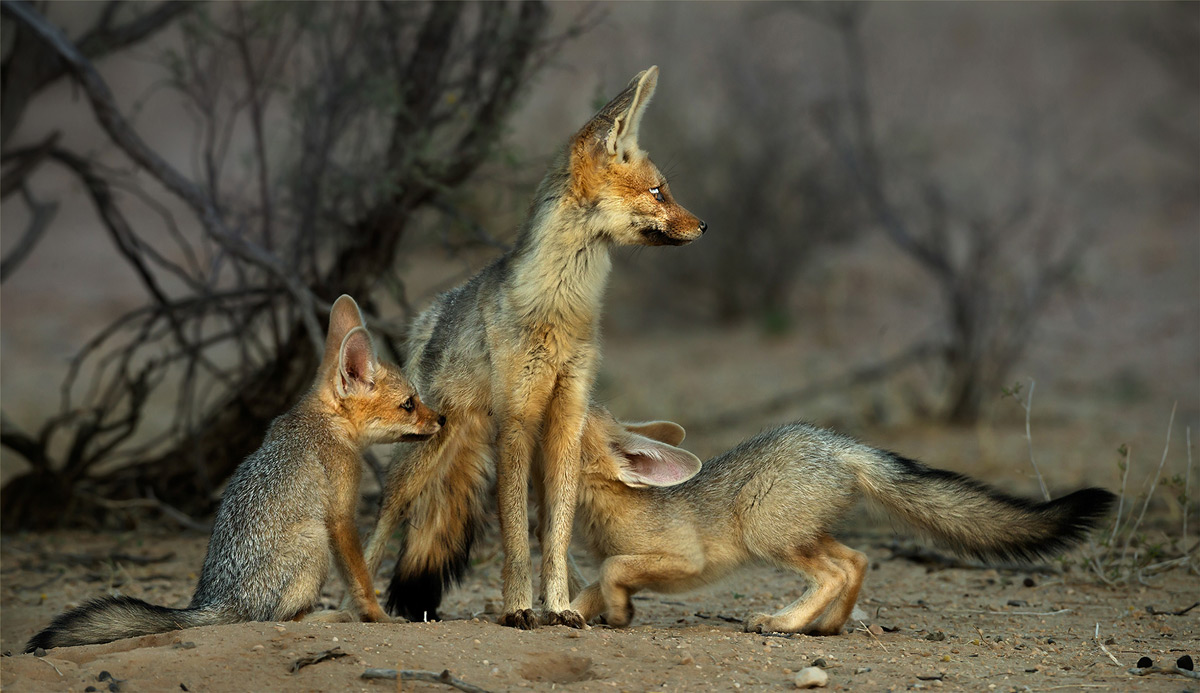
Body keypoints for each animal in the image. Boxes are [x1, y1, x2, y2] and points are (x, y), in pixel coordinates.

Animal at [27, 292, 441, 647]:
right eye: (409, 404)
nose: (443, 418)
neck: (325, 421)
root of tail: (215, 602)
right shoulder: (340, 517)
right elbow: (362, 580)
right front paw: (378, 616)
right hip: (314, 537)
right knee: (276, 619)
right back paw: (328, 617)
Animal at [360, 64, 705, 623]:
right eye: (658, 192)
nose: (704, 225)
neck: (562, 310)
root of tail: (430, 313)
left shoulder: (566, 417)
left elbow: (557, 533)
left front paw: (559, 606)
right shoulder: (518, 421)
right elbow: (516, 536)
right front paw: (519, 608)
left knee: (543, 526)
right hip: (422, 457)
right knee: (386, 519)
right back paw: (362, 600)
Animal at [571, 407, 1113, 633]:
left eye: (581, 408)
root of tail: (842, 444)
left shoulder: (684, 559)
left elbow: (612, 570)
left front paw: (619, 614)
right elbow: (595, 583)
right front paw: (568, 615)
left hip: (769, 535)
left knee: (834, 572)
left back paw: (785, 623)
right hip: (805, 535)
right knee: (857, 561)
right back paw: (827, 626)